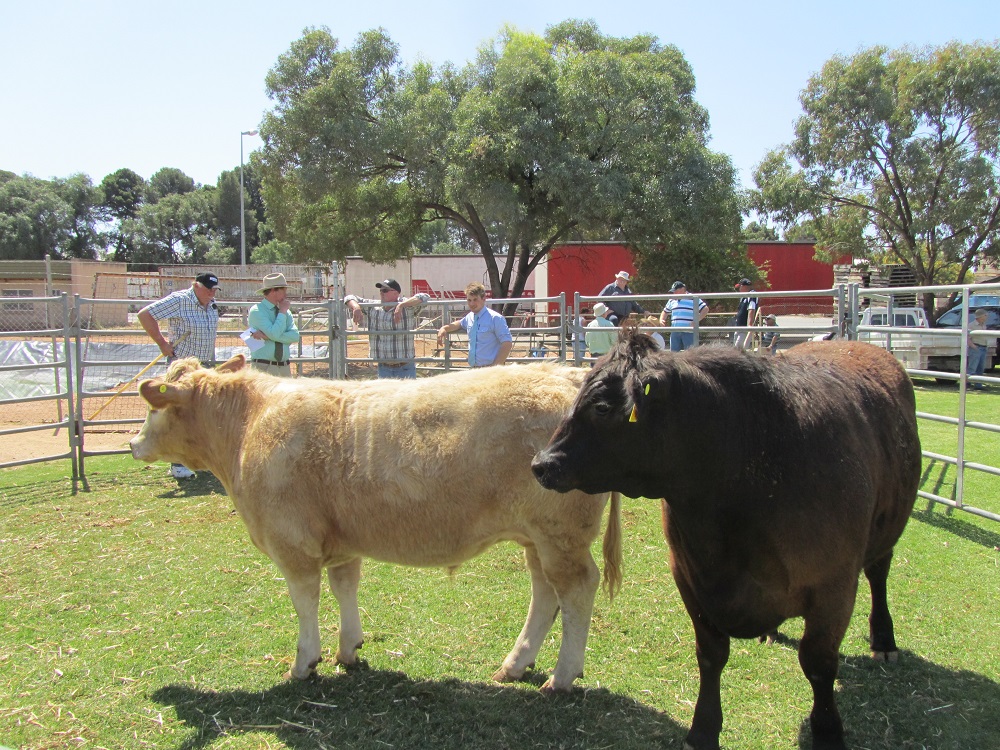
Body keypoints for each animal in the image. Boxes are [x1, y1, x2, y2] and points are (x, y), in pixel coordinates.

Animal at [129, 358, 620, 692]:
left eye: (152, 410)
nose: (132, 443)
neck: (249, 425)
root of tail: (565, 374)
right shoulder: (341, 541)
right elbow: (344, 587)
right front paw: (349, 649)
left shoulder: (291, 543)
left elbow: (304, 602)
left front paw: (304, 663)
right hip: (537, 537)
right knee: (545, 595)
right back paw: (515, 664)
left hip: (560, 536)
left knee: (576, 589)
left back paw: (561, 677)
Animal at [536, 336, 916, 750]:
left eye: (602, 407)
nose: (541, 463)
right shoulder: (688, 575)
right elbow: (711, 653)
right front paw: (703, 729)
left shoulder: (833, 586)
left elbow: (818, 664)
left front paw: (829, 733)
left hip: (887, 530)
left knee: (879, 574)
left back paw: (884, 640)